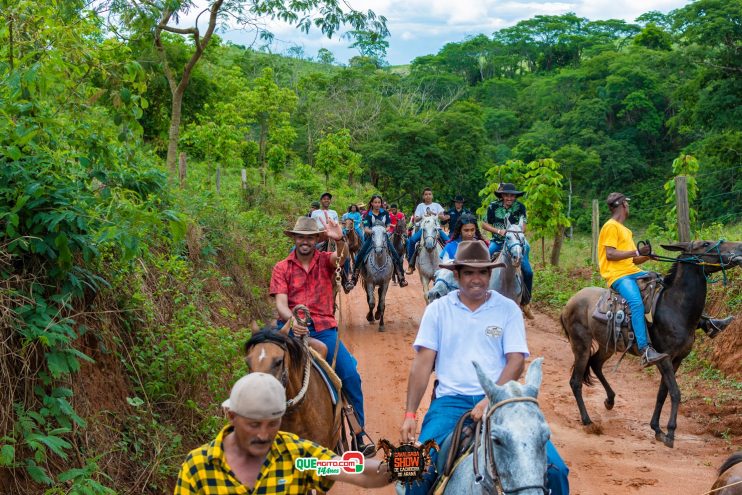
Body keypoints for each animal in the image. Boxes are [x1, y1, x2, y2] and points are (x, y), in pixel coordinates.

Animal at [564, 240, 742, 450]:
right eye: (706, 244)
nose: (740, 248)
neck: (675, 308)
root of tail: (570, 301)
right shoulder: (663, 358)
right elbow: (675, 392)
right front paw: (670, 433)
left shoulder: (677, 359)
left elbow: (662, 393)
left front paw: (657, 429)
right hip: (581, 345)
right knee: (576, 381)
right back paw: (588, 421)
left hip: (608, 346)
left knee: (595, 364)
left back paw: (610, 400)